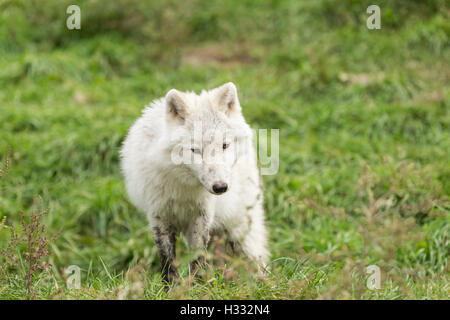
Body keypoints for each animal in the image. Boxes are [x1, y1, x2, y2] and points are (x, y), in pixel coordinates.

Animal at [119, 82, 268, 282]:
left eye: (224, 145)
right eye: (196, 150)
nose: (220, 187)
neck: (184, 188)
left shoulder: (202, 216)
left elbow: (198, 257)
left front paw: (198, 285)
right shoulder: (159, 215)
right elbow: (168, 261)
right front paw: (173, 287)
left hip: (239, 232)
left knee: (258, 260)